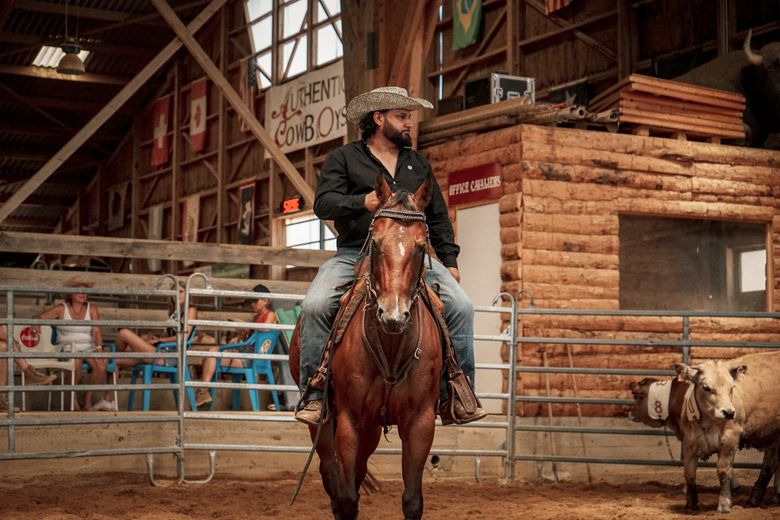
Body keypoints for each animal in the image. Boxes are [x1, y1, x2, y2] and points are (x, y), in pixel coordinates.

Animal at [290, 176, 442, 520]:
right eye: (376, 243)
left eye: (421, 247)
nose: (393, 315)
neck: (391, 347)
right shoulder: (350, 420)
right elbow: (346, 499)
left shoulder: (420, 422)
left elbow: (412, 500)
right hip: (327, 418)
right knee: (331, 471)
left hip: (373, 427)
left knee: (357, 473)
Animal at [632, 352, 780, 510]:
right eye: (706, 387)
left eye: (732, 388)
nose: (728, 412)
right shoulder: (690, 440)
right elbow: (689, 472)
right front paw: (691, 502)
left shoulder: (730, 438)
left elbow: (724, 469)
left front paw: (725, 503)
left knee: (769, 465)